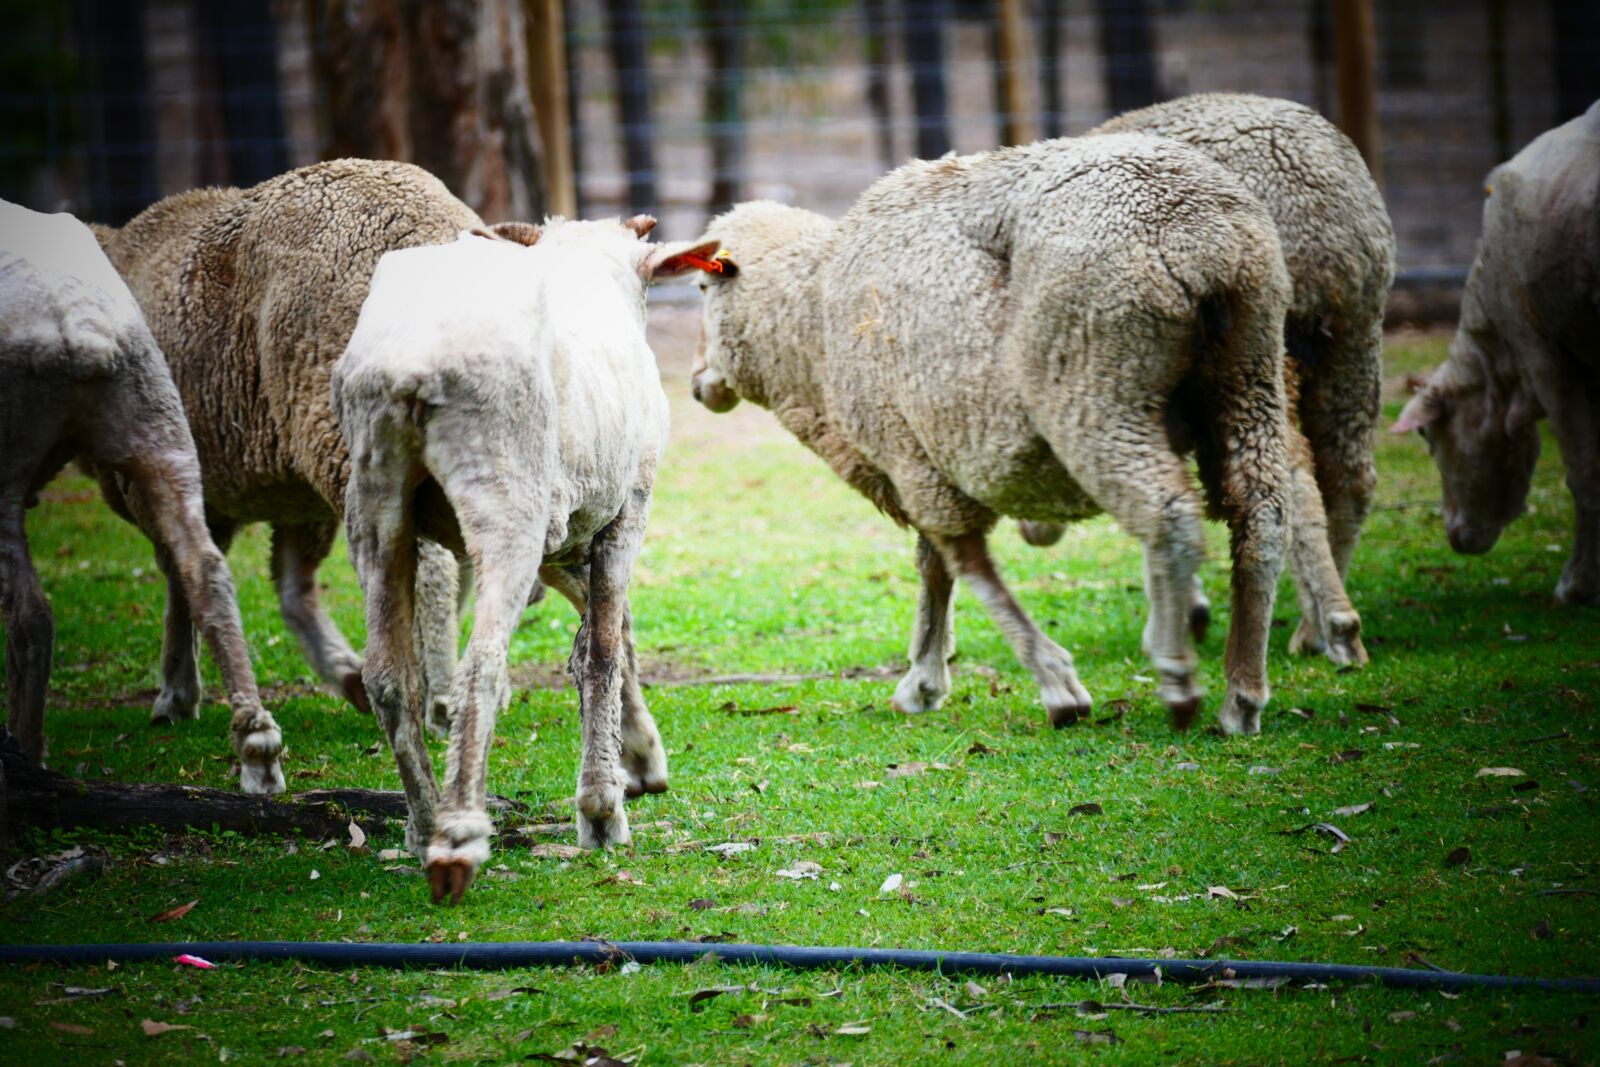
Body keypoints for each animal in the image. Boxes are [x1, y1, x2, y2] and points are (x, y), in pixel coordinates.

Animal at [1, 199, 284, 793]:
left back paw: (27, 755)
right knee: (205, 570)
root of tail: (76, 321)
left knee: (32, 614)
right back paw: (257, 749)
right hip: (159, 421)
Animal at [90, 160, 503, 732]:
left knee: (430, 565)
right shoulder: (287, 501)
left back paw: (439, 697)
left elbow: (181, 573)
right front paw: (347, 674)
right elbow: (291, 587)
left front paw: (176, 691)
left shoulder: (157, 479)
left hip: (343, 431)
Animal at [334, 216, 714, 902]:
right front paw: (602, 811)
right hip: (503, 494)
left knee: (387, 676)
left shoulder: (560, 535)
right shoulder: (627, 511)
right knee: (479, 663)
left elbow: (592, 641)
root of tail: (409, 367)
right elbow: (603, 651)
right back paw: (456, 838)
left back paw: (421, 823)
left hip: (374, 502)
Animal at [687, 133, 1295, 734]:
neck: (809, 319)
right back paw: (1242, 696)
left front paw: (1053, 684)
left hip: (1095, 386)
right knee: (1262, 516)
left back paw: (1177, 676)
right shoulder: (925, 456)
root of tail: (1201, 234)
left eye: (700, 287)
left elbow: (965, 563)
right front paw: (925, 678)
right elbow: (936, 566)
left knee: (1167, 514)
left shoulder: (907, 452)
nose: (697, 383)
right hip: (1247, 373)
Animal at [1021, 94, 1396, 668]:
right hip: (1354, 333)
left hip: (1273, 348)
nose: (1033, 532)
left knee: (1295, 479)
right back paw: (1322, 623)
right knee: (1351, 477)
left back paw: (1328, 626)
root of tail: (1319, 204)